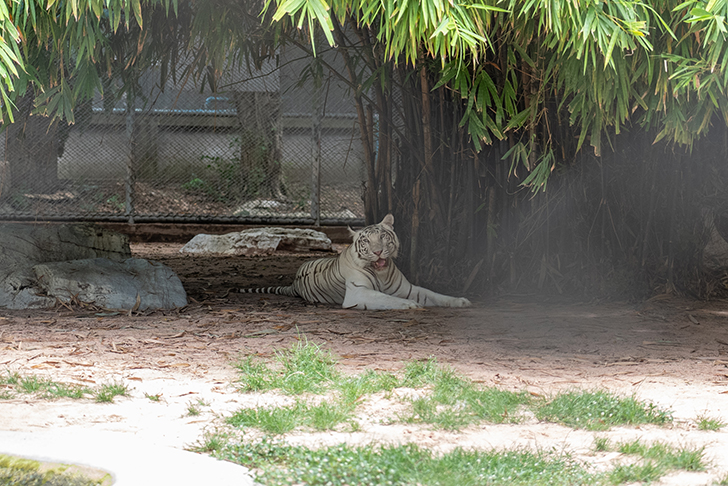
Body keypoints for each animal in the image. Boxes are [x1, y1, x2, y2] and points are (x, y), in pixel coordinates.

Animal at [242, 215, 474, 310]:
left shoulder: (409, 289)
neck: (381, 273)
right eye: (366, 241)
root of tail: (294, 283)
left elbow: (435, 295)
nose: (378, 252)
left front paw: (460, 301)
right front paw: (409, 305)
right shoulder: (358, 292)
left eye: (383, 237)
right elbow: (385, 298)